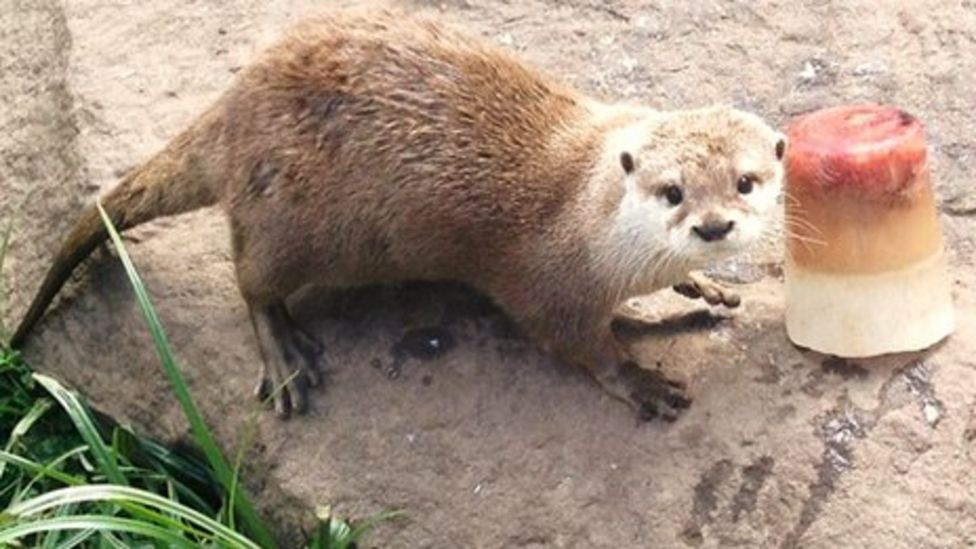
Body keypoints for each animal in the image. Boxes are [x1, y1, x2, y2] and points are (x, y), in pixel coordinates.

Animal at [7, 7, 784, 420]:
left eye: (746, 181)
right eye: (671, 190)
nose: (714, 227)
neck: (589, 215)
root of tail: (234, 106)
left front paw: (701, 283)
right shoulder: (547, 280)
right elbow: (573, 340)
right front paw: (638, 379)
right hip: (289, 221)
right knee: (250, 278)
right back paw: (284, 354)